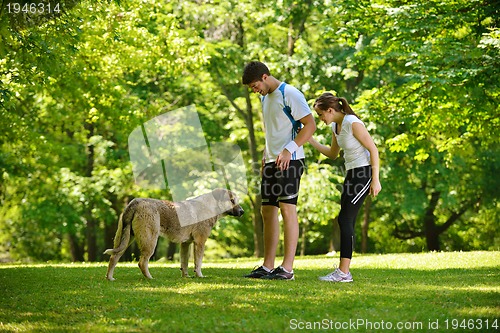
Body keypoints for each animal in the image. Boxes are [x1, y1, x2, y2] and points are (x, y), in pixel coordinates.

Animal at [104, 188, 244, 278]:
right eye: (232, 200)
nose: (242, 212)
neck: (211, 207)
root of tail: (136, 202)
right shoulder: (200, 242)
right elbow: (198, 263)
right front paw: (199, 276)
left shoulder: (185, 244)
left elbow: (184, 263)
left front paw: (186, 277)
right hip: (150, 241)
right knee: (142, 262)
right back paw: (150, 278)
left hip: (125, 239)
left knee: (113, 258)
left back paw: (110, 278)